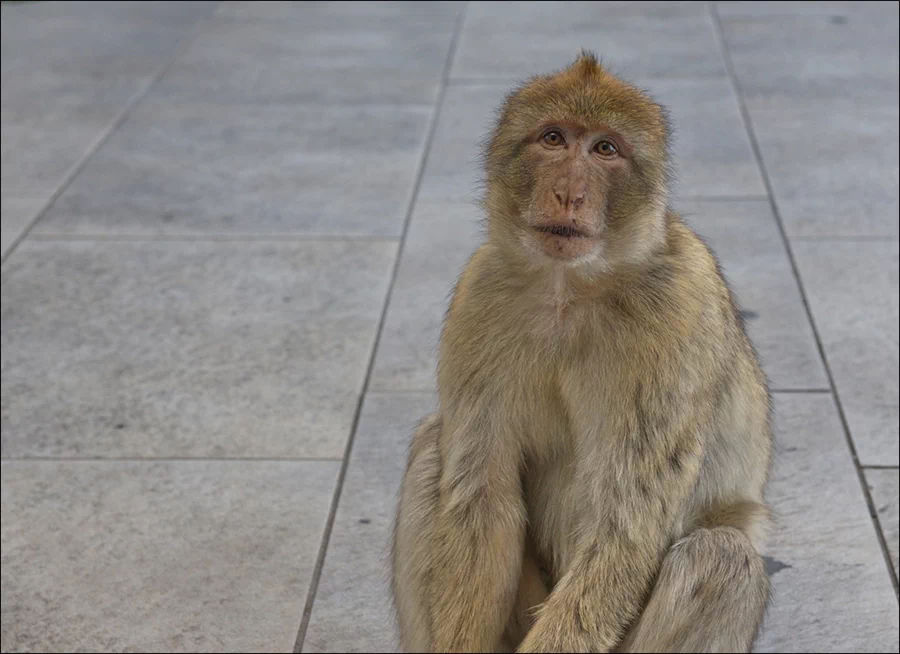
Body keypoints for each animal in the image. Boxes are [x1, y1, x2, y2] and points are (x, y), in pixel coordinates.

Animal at [392, 52, 772, 654]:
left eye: (605, 149)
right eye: (554, 139)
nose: (569, 193)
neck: (569, 289)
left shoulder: (677, 315)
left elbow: (622, 527)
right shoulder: (479, 297)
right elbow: (484, 500)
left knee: (720, 555)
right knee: (435, 443)